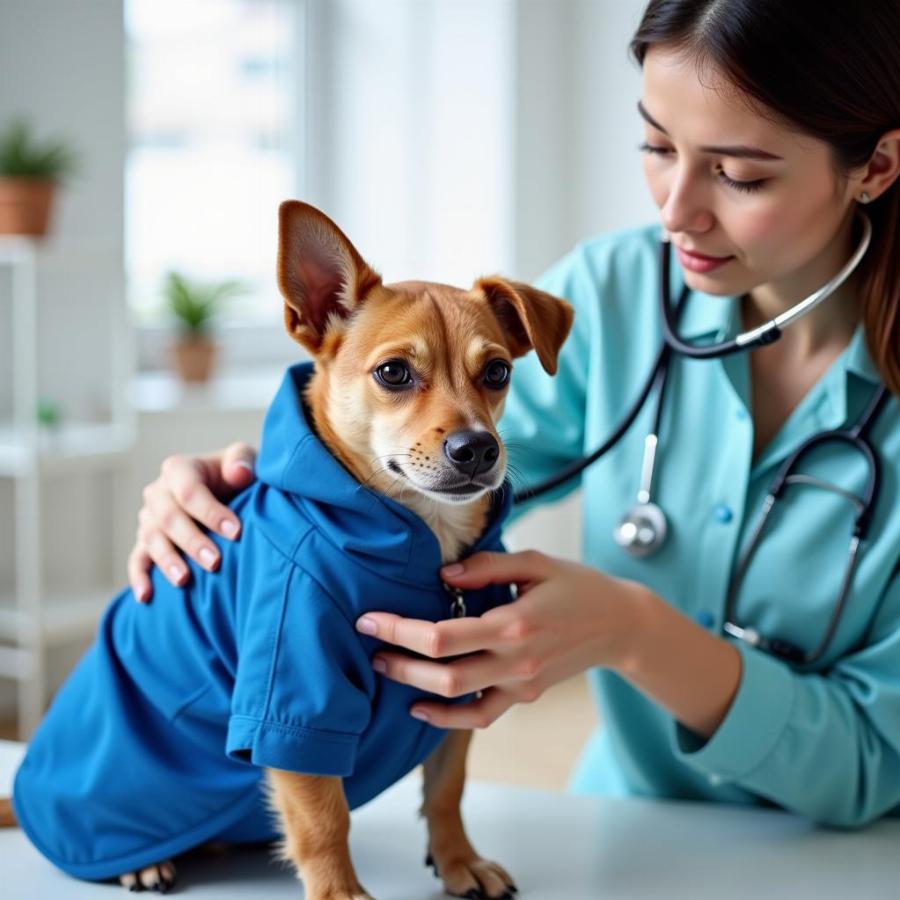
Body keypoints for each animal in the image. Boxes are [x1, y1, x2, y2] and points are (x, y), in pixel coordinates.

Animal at [3, 204, 572, 900]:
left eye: (497, 373)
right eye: (393, 373)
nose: (478, 448)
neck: (426, 539)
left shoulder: (454, 697)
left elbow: (446, 791)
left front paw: (458, 860)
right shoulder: (293, 696)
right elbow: (322, 818)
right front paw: (340, 893)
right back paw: (139, 861)